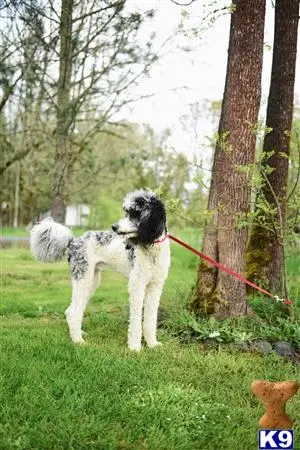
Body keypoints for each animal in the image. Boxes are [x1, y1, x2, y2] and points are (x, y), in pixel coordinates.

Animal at [31, 190, 171, 352]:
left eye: (135, 212)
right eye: (126, 211)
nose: (114, 227)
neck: (152, 249)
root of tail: (73, 241)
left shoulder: (155, 286)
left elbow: (150, 318)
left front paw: (152, 344)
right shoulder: (137, 286)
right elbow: (136, 320)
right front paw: (135, 347)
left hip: (92, 281)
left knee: (71, 310)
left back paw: (78, 333)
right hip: (83, 278)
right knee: (73, 312)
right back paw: (78, 341)